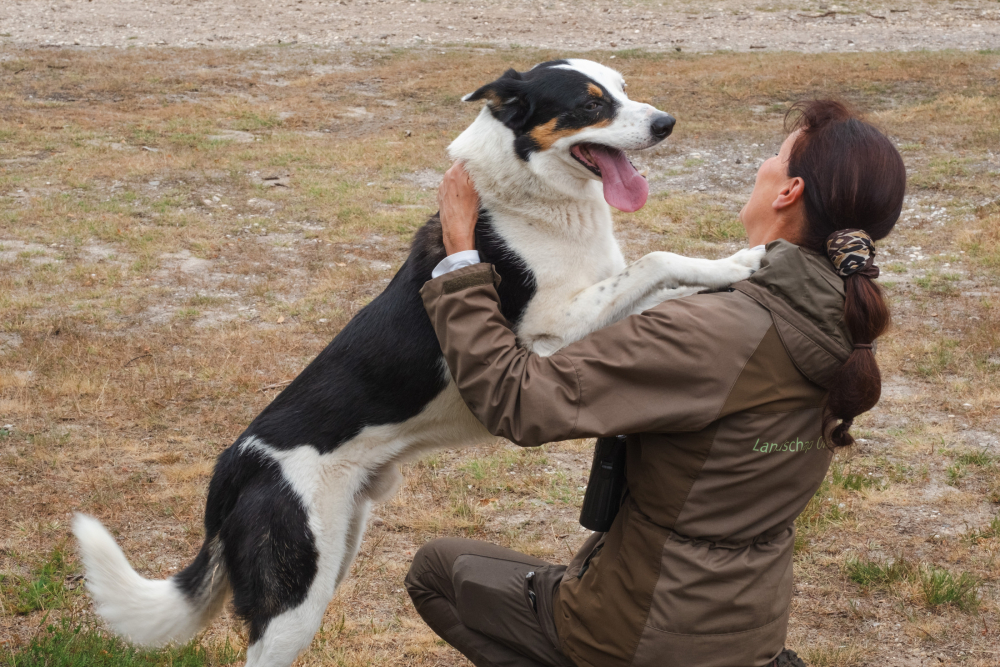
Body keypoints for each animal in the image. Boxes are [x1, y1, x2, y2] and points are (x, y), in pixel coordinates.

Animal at [74, 60, 760, 664]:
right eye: (592, 105)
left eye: (623, 88)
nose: (667, 123)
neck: (534, 200)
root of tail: (233, 467)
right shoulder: (540, 348)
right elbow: (656, 261)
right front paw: (741, 261)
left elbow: (663, 285)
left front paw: (734, 269)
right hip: (294, 597)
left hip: (334, 558)